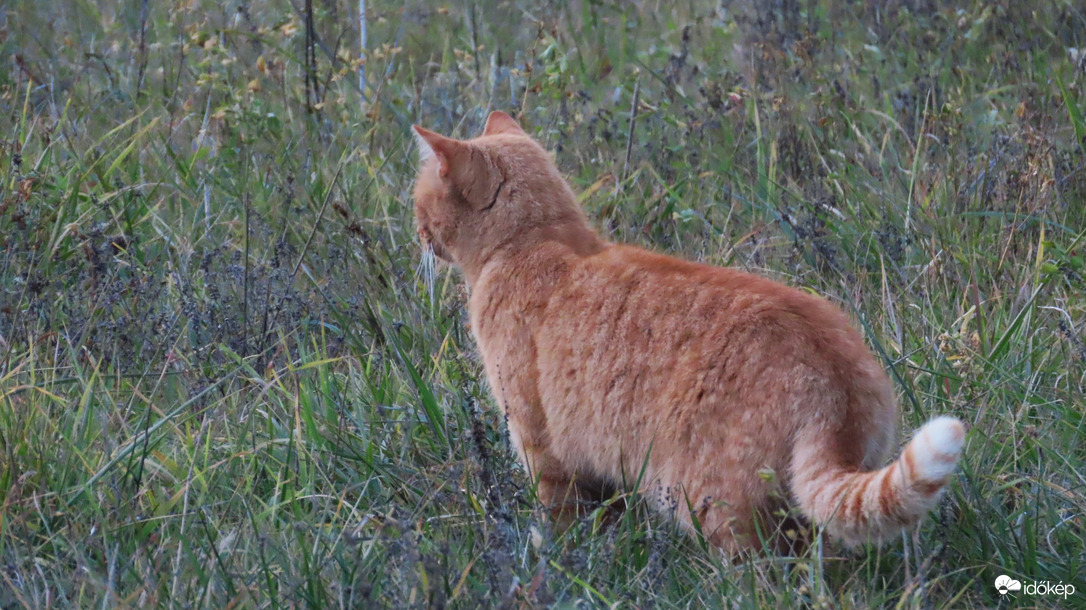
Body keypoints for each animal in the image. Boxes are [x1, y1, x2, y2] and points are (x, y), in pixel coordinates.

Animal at [410, 111, 964, 553]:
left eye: (418, 202)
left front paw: (562, 564)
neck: (538, 239)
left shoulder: (540, 446)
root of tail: (835, 383)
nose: (416, 234)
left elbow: (563, 522)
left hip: (715, 506)